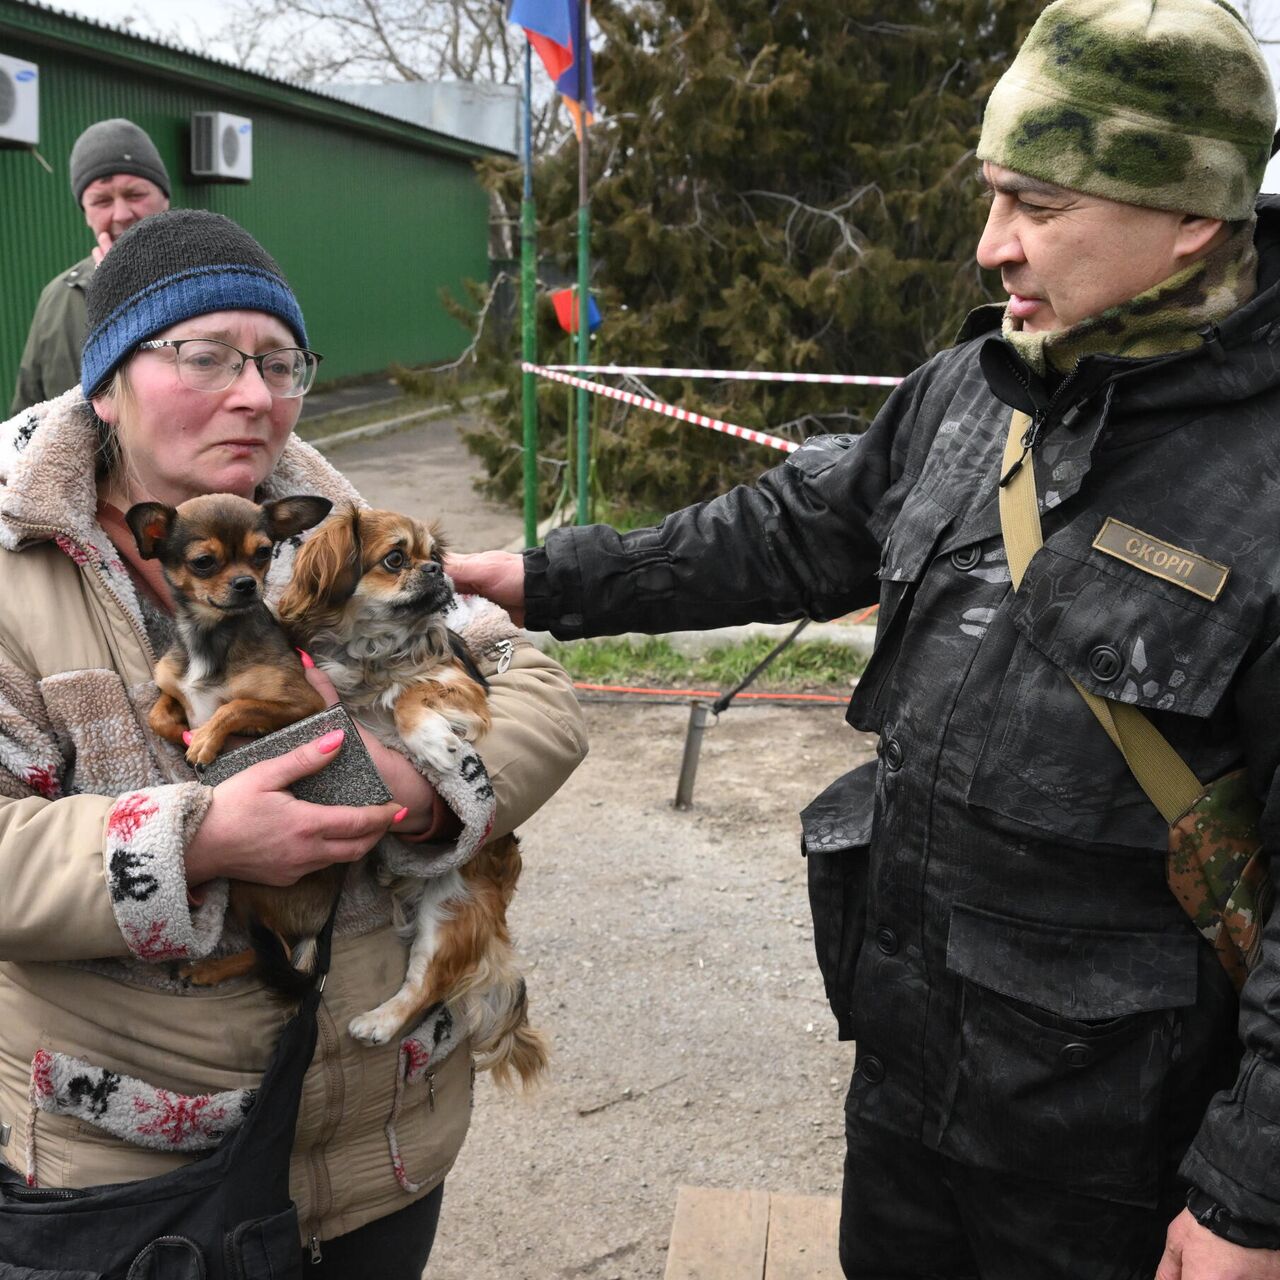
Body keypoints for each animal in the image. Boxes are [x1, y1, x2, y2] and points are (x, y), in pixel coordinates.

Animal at [124, 488, 340, 988]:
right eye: (204, 562)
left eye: (263, 553)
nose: (246, 585)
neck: (210, 637)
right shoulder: (172, 687)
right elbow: (161, 714)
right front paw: (188, 736)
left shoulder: (304, 704)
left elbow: (233, 705)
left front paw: (204, 739)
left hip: (256, 886)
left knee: (270, 954)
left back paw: (207, 969)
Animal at [277, 504, 547, 1085]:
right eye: (396, 558)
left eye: (434, 555)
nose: (438, 570)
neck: (371, 649)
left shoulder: (459, 686)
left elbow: (408, 694)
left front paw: (433, 744)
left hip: (450, 908)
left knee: (428, 982)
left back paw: (379, 1022)